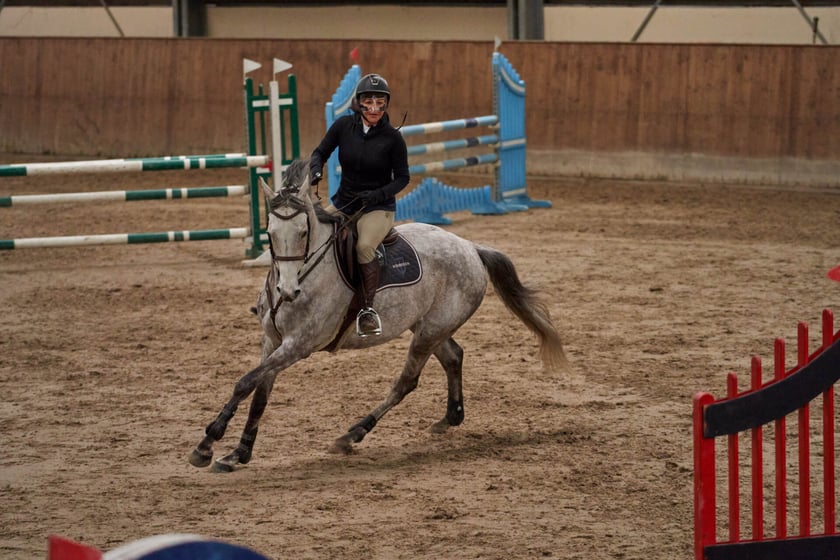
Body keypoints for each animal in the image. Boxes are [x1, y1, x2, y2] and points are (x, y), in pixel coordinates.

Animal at [188, 159, 568, 472]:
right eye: (269, 232)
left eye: (303, 233)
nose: (287, 291)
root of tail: (471, 248)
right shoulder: (272, 341)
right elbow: (259, 393)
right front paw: (238, 452)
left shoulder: (298, 346)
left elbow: (245, 383)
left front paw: (207, 443)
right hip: (429, 326)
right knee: (453, 356)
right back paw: (450, 418)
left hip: (428, 332)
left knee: (406, 382)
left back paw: (353, 434)